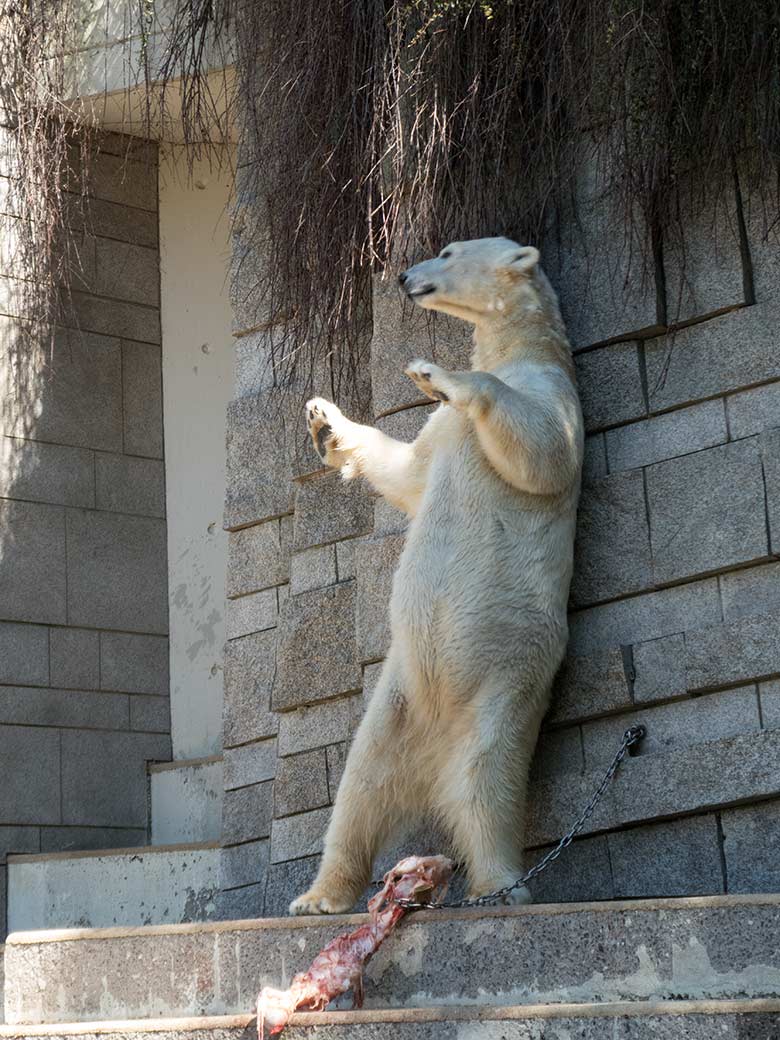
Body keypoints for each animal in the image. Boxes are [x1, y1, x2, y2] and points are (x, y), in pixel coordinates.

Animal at [291, 238, 582, 919]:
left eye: (447, 251)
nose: (402, 274)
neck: (523, 351)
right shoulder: (443, 435)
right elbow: (409, 474)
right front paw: (324, 420)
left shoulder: (556, 394)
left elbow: (544, 455)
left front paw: (436, 374)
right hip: (398, 698)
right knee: (361, 785)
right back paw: (321, 896)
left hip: (509, 678)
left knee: (487, 777)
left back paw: (501, 885)